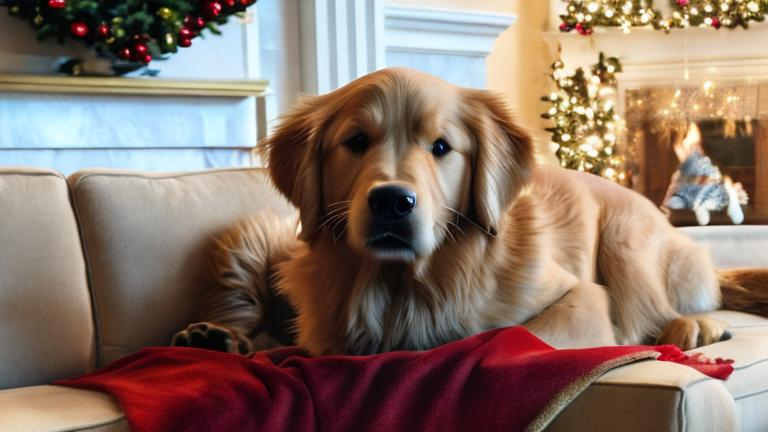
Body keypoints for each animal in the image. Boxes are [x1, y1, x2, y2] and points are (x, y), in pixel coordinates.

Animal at [174, 67, 768, 356]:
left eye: (441, 147)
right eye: (356, 141)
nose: (393, 202)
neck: (406, 287)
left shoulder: (580, 299)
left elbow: (518, 339)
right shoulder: (325, 338)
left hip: (625, 237)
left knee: (657, 310)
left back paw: (693, 327)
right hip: (246, 237)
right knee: (250, 320)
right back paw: (218, 337)